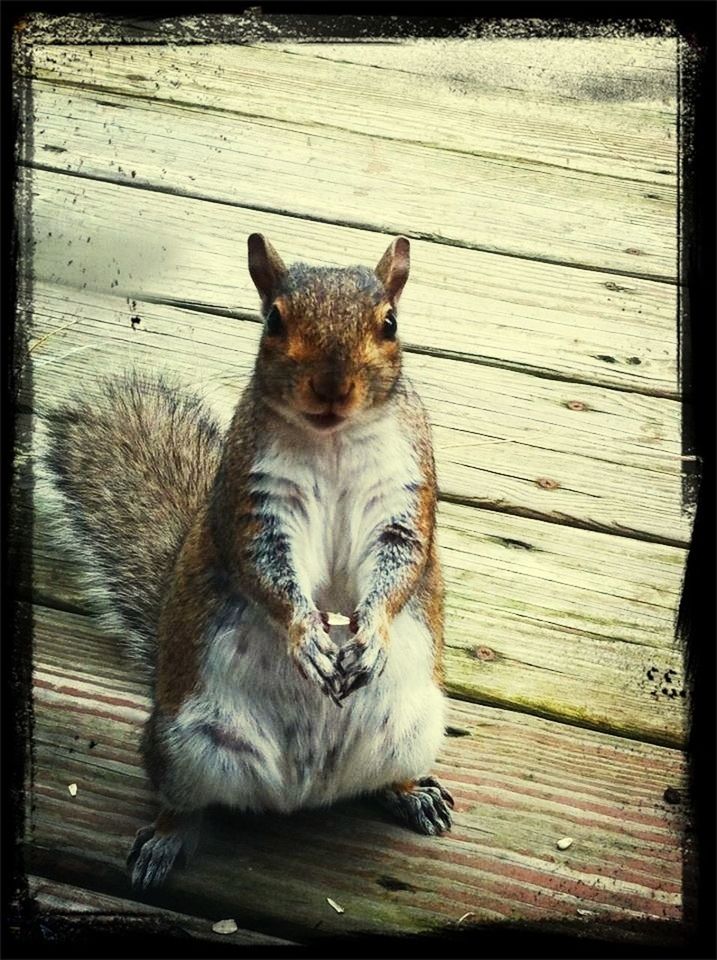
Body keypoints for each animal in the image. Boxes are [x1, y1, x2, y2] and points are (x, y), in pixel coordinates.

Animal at [44, 234, 456, 892]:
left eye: (390, 324)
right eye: (273, 321)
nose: (331, 387)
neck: (333, 438)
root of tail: (305, 791)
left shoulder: (405, 488)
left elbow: (402, 558)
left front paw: (370, 635)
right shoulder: (255, 500)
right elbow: (266, 568)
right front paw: (308, 639)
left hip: (416, 727)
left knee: (388, 773)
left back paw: (412, 792)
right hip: (181, 745)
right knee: (183, 802)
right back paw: (165, 840)